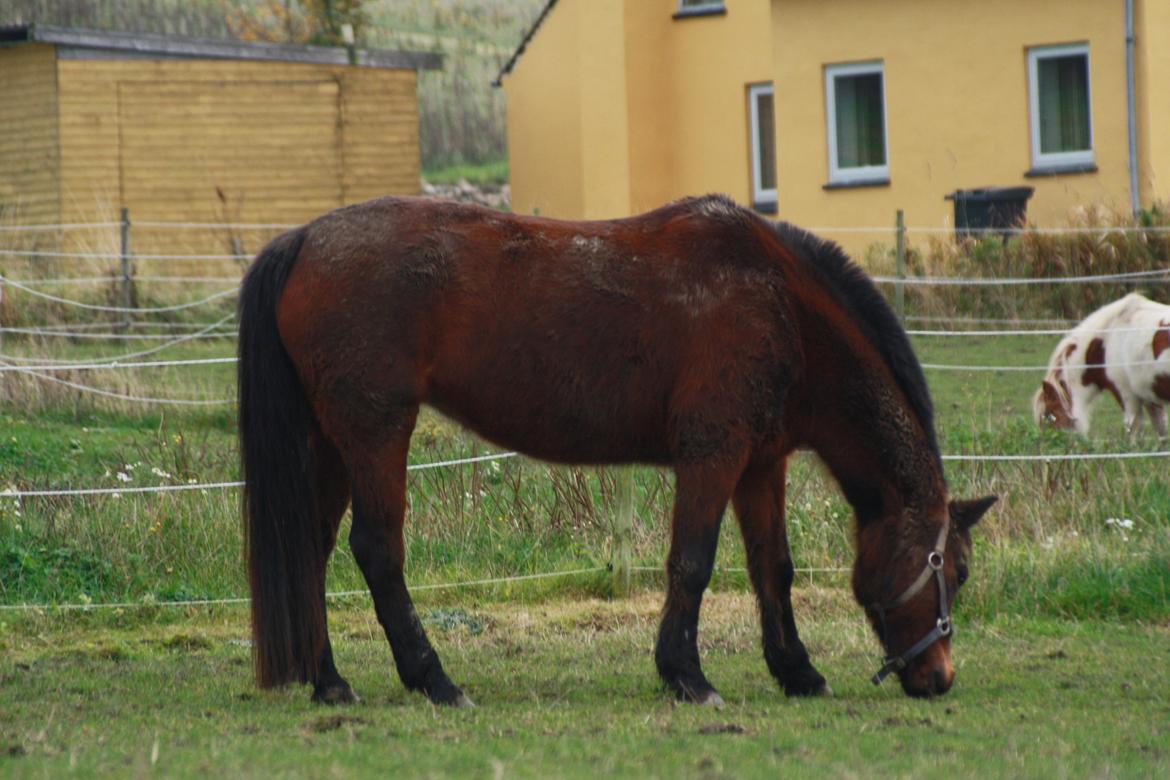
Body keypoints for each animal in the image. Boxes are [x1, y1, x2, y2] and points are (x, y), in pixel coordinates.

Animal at [237, 194, 996, 706]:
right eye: (953, 570)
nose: (938, 678)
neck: (780, 304)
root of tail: (304, 238)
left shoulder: (760, 465)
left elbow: (771, 570)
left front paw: (797, 671)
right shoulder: (712, 455)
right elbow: (692, 562)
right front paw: (686, 675)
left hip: (331, 443)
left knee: (311, 549)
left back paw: (330, 682)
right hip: (376, 434)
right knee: (377, 551)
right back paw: (435, 680)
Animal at [1034, 292, 1170, 439]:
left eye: (1049, 415)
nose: (1048, 442)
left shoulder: (1127, 397)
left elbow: (1133, 433)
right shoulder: (1150, 398)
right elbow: (1161, 433)